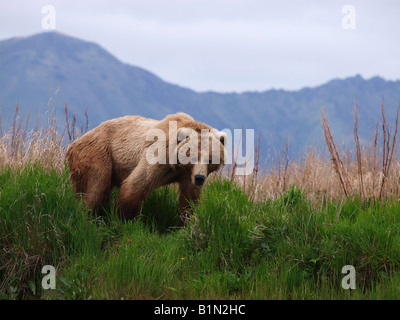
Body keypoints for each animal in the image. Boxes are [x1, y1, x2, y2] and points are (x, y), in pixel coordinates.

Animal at [67, 112, 227, 225]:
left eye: (210, 159)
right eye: (192, 156)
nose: (200, 178)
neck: (177, 166)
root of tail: (74, 143)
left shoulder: (187, 175)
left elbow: (189, 198)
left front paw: (187, 222)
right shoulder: (158, 156)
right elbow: (136, 185)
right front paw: (125, 220)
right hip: (98, 154)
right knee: (95, 189)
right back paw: (88, 216)